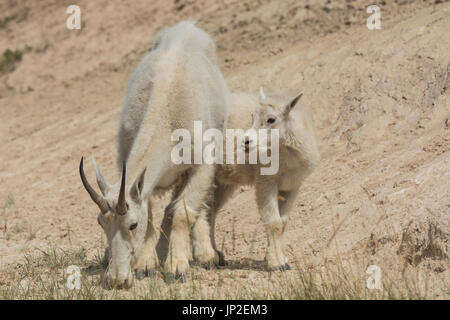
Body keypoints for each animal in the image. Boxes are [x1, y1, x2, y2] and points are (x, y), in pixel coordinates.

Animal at [79, 22, 229, 288]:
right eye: (100, 222)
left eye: (132, 225)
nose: (116, 280)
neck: (166, 120)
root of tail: (188, 25)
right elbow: (152, 215)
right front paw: (146, 264)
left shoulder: (200, 166)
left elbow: (182, 214)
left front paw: (176, 267)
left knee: (196, 206)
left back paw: (206, 255)